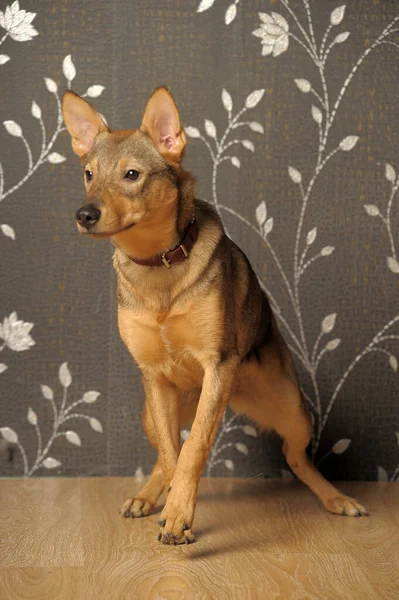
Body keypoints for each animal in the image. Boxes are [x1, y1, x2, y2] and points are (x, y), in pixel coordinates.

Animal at [61, 88, 368, 544]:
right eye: (88, 174)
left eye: (132, 175)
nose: (85, 214)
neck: (159, 264)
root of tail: (239, 395)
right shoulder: (154, 377)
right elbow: (173, 455)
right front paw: (174, 508)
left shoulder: (218, 365)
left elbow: (194, 448)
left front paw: (178, 512)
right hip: (153, 413)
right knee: (161, 452)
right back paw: (147, 497)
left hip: (292, 410)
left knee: (296, 458)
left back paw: (336, 498)